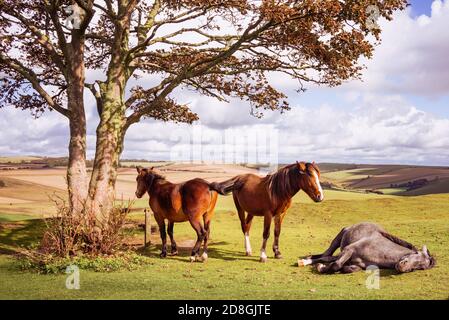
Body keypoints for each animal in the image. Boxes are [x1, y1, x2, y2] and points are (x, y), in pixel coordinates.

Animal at [298, 222, 434, 272]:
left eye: (420, 267)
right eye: (416, 254)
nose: (402, 266)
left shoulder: (357, 265)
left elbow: (345, 268)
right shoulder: (349, 250)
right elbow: (336, 265)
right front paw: (320, 268)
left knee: (328, 257)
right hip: (339, 239)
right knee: (326, 255)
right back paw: (305, 261)